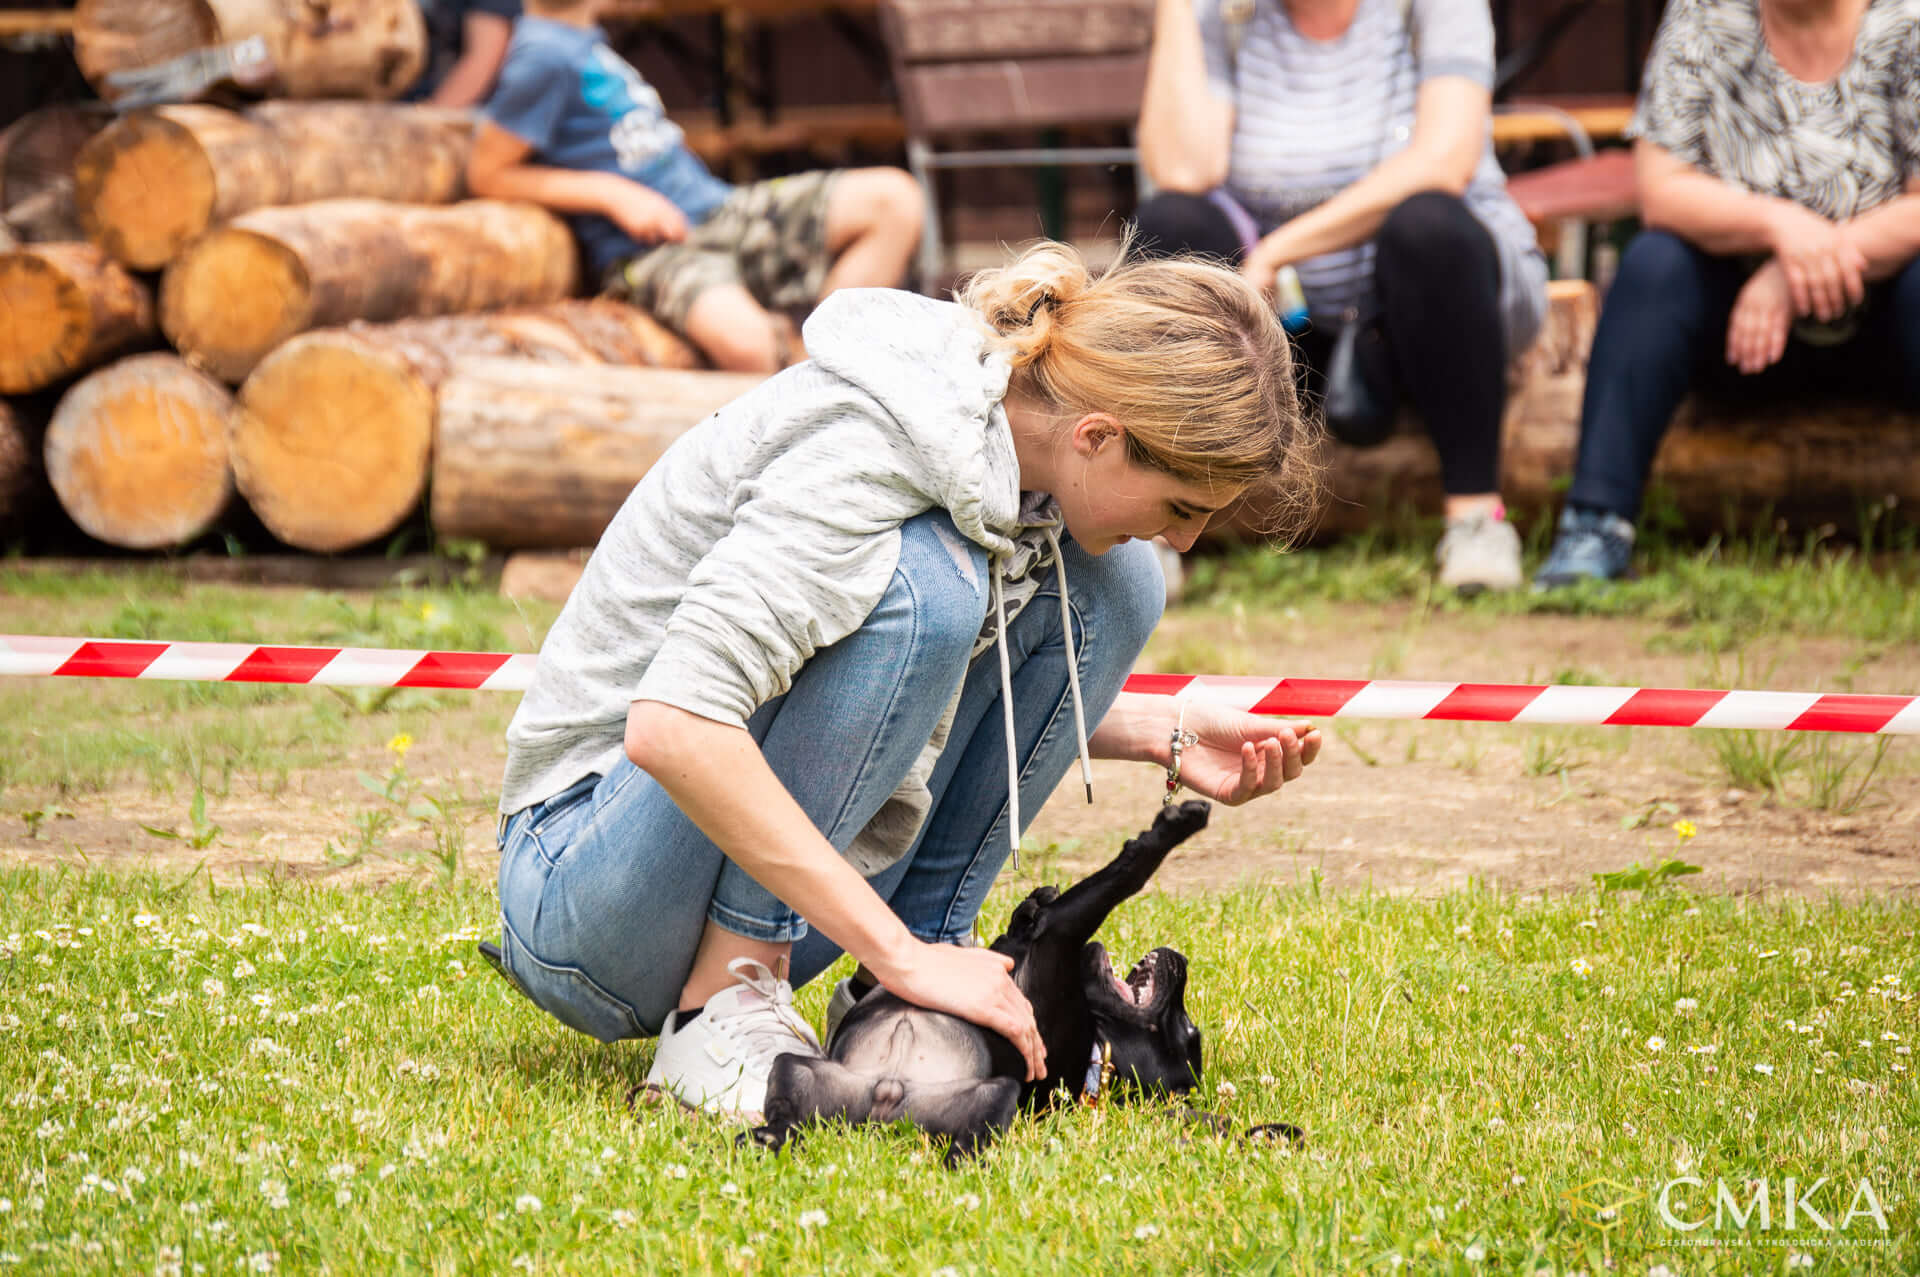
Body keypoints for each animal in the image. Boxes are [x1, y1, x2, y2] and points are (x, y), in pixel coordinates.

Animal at [752, 802, 1213, 1159]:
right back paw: (763, 1139)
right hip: (796, 1070)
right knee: (786, 1114)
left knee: (967, 1145)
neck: (1097, 1049)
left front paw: (1177, 826)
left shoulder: (1059, 936)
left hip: (994, 1095)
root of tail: (884, 1102)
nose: (1182, 960)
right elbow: (1024, 925)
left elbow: (1122, 877)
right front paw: (1031, 904)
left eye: (1187, 1031)